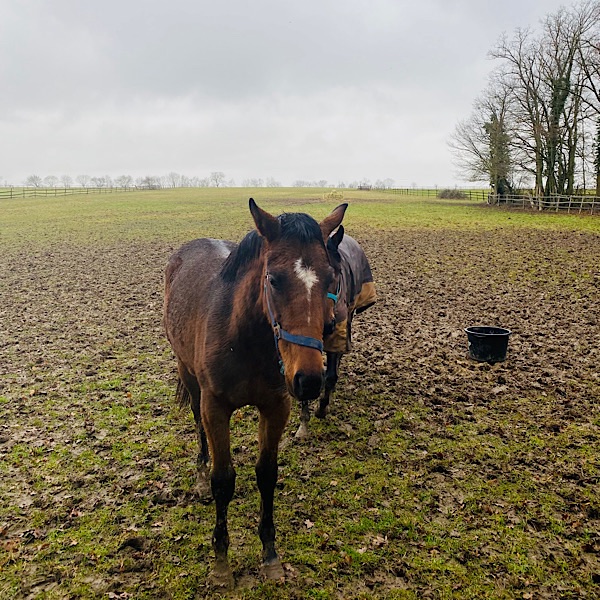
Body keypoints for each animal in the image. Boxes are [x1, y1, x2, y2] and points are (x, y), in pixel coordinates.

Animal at [162, 199, 346, 588]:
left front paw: (270, 554)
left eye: (330, 279)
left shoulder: (276, 407)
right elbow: (223, 480)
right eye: (273, 279)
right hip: (188, 375)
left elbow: (267, 474)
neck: (245, 340)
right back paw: (199, 475)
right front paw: (221, 562)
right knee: (197, 428)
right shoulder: (215, 407)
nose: (309, 380)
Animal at [294, 232, 376, 438]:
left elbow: (331, 375)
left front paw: (322, 409)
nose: (328, 324)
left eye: (336, 274)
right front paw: (303, 425)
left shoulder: (338, 334)